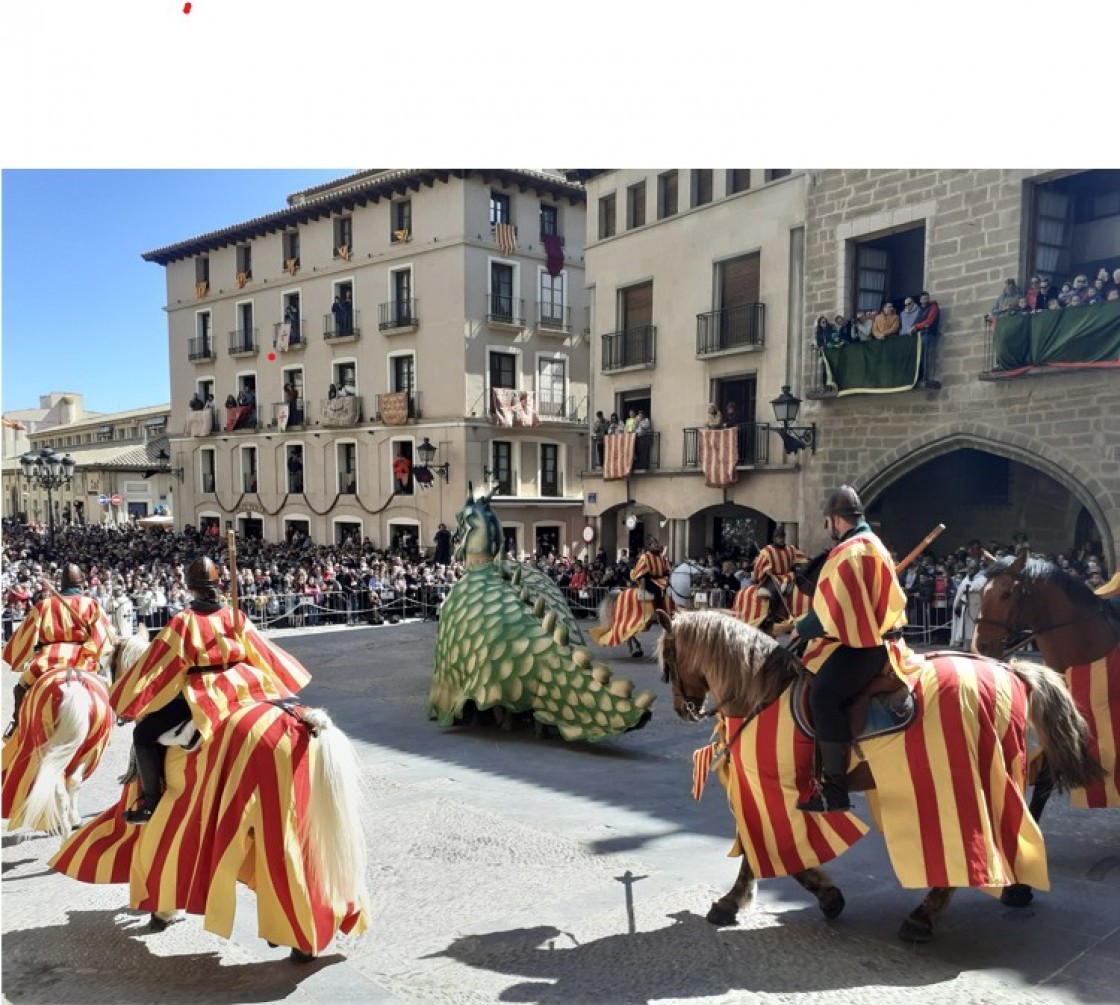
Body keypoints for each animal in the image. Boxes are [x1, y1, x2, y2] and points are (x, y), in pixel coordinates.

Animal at [654, 609, 1102, 945]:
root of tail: (1011, 671)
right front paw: (824, 895)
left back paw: (923, 916)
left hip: (963, 783)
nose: (682, 708)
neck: (761, 691)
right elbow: (766, 846)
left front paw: (734, 902)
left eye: (668, 660)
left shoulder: (767, 788)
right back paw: (1014, 889)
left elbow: (762, 847)